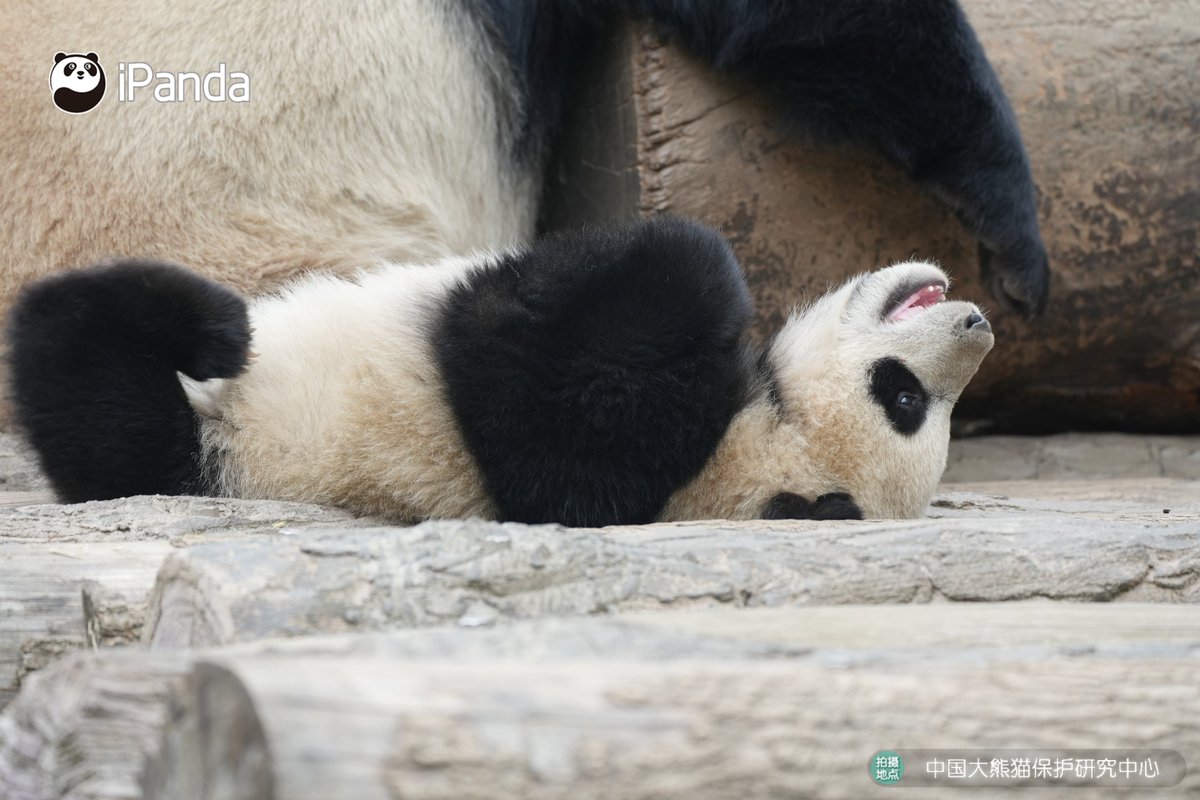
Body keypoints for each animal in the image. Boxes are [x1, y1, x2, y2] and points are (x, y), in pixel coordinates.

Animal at [7, 217, 992, 526]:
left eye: (902, 398)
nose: (979, 326)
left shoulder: (599, 455)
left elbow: (525, 382)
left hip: (212, 449)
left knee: (101, 402)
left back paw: (171, 319)